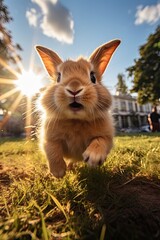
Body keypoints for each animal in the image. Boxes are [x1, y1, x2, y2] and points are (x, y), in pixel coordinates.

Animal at [36, 39, 120, 178]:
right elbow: (52, 149)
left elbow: (100, 141)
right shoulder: (49, 139)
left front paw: (93, 158)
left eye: (93, 77)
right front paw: (58, 172)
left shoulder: (107, 137)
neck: (76, 120)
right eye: (58, 77)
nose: (74, 89)